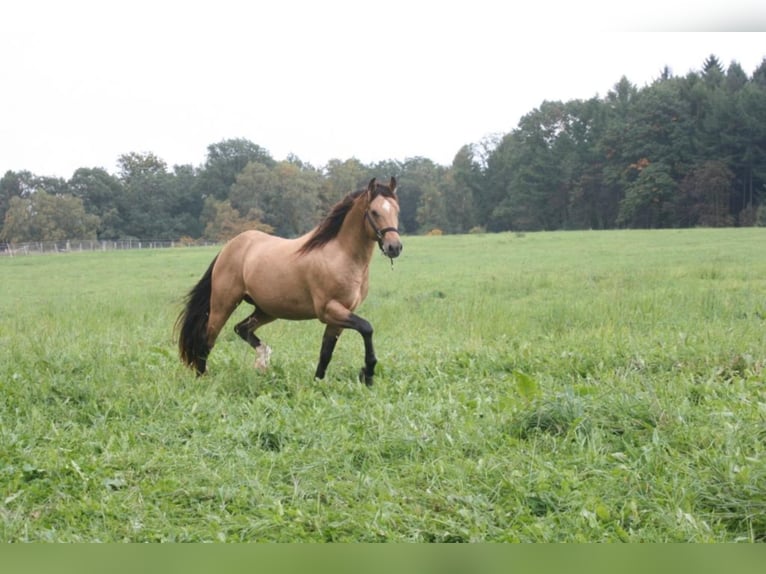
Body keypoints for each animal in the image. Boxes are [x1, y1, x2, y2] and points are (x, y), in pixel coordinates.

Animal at [176, 177, 402, 386]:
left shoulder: (341, 314)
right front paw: (368, 373)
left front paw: (318, 382)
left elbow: (326, 352)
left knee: (241, 328)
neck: (340, 255)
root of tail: (229, 247)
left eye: (397, 211)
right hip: (223, 304)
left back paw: (262, 361)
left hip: (267, 309)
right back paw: (203, 378)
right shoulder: (329, 310)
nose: (395, 247)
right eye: (374, 212)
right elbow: (367, 328)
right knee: (207, 340)